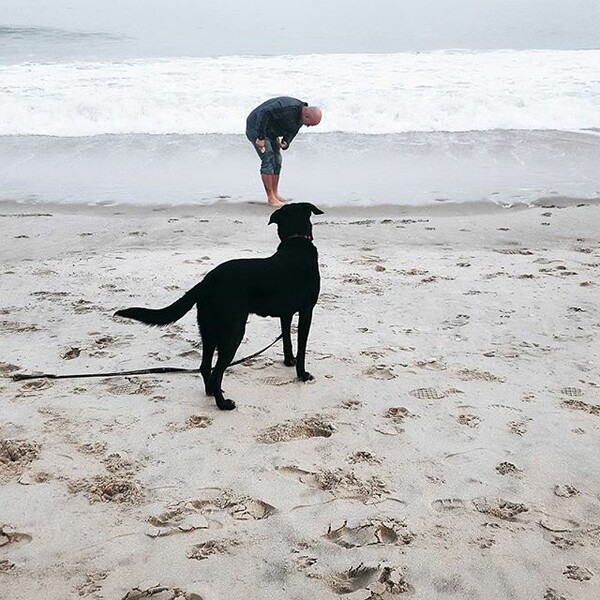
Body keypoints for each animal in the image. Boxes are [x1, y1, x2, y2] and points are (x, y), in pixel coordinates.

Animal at [113, 202, 324, 408]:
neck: (296, 243)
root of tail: (206, 283)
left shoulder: (285, 314)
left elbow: (287, 339)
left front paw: (289, 361)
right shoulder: (306, 311)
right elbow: (301, 347)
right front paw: (302, 374)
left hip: (208, 330)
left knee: (205, 367)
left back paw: (211, 393)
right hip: (233, 332)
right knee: (217, 372)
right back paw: (223, 403)